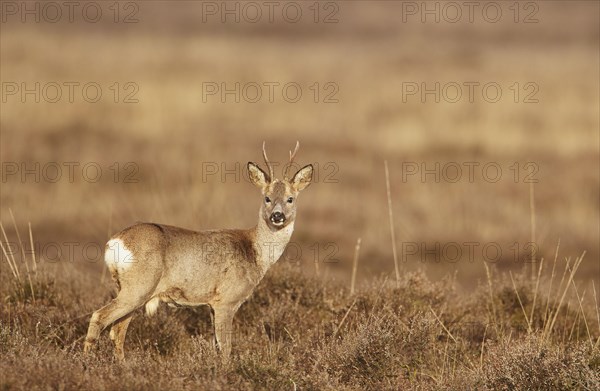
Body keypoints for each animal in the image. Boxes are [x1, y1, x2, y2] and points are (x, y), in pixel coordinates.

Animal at [84, 142, 314, 362]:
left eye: (290, 198)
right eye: (266, 197)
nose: (277, 216)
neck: (255, 251)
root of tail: (116, 241)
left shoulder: (211, 304)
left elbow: (216, 346)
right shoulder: (226, 299)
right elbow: (226, 347)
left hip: (128, 289)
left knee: (117, 331)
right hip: (138, 287)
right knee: (99, 317)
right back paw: (87, 363)